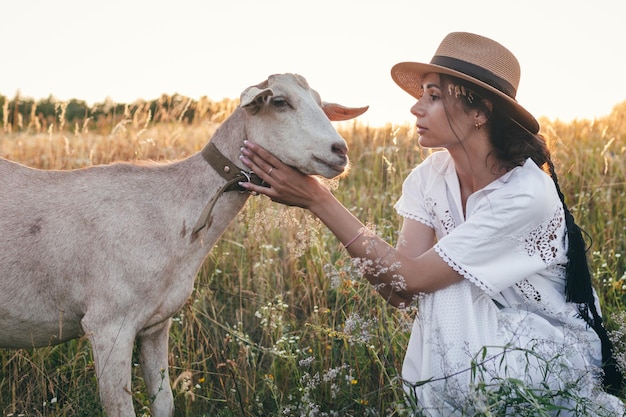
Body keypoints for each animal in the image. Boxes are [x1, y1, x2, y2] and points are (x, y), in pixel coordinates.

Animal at [0, 73, 366, 414]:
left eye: (320, 103)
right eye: (278, 101)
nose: (340, 151)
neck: (172, 212)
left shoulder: (155, 324)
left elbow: (165, 403)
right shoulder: (108, 325)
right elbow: (121, 408)